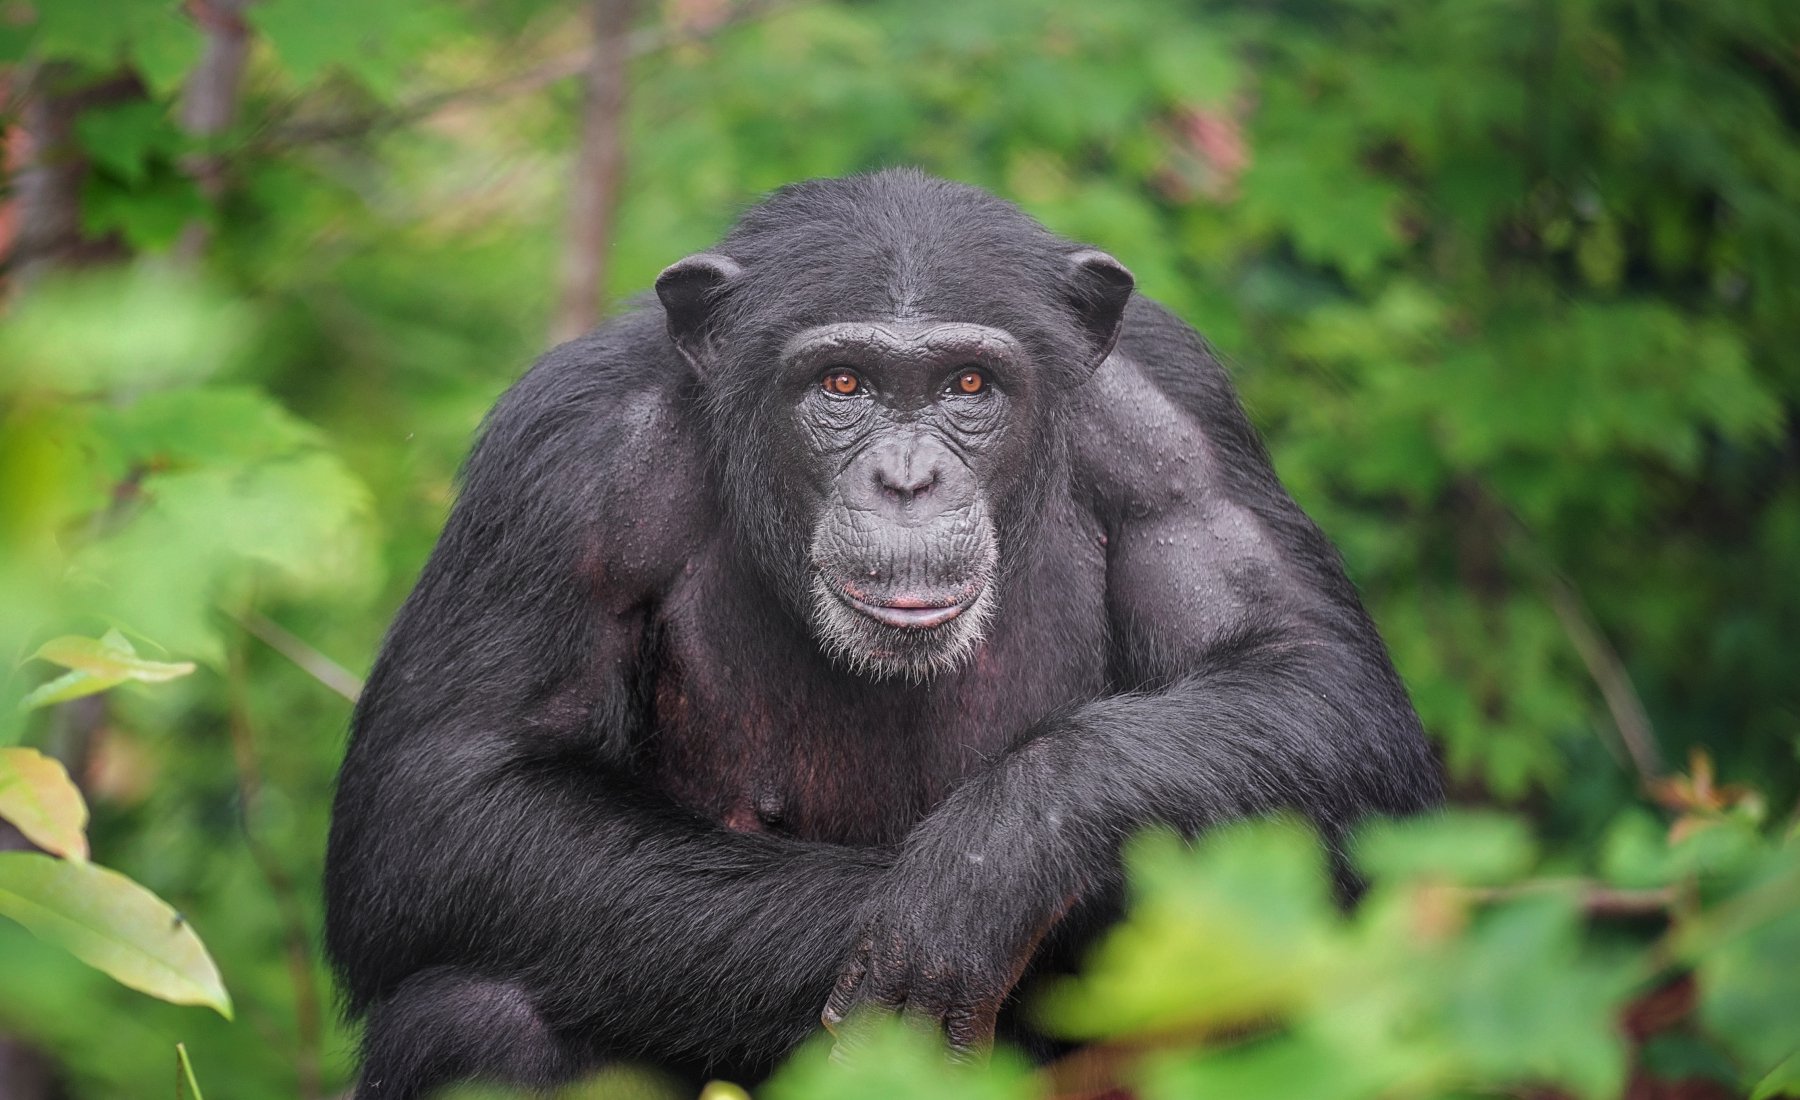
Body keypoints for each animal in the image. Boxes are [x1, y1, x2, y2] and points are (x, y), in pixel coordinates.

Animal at [324, 167, 1440, 1094]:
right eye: (843, 384)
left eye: (969, 385)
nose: (907, 476)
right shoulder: (562, 463)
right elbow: (451, 795)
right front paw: (952, 918)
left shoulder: (1174, 425)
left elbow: (1313, 681)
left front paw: (989, 866)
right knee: (472, 1013)